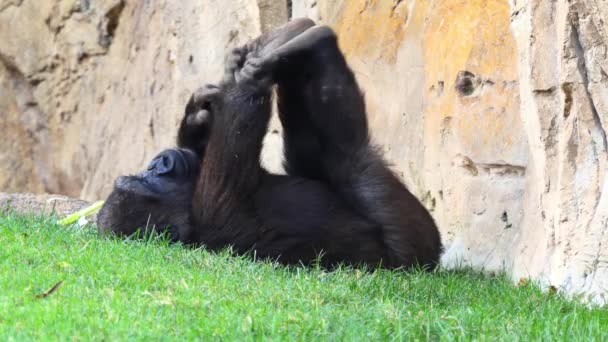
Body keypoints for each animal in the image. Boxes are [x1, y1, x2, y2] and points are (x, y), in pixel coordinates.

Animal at [98, 18, 442, 270]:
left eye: (145, 174)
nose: (159, 163)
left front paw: (197, 114)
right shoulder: (215, 204)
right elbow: (240, 128)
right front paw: (248, 74)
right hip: (404, 231)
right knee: (351, 156)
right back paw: (308, 43)